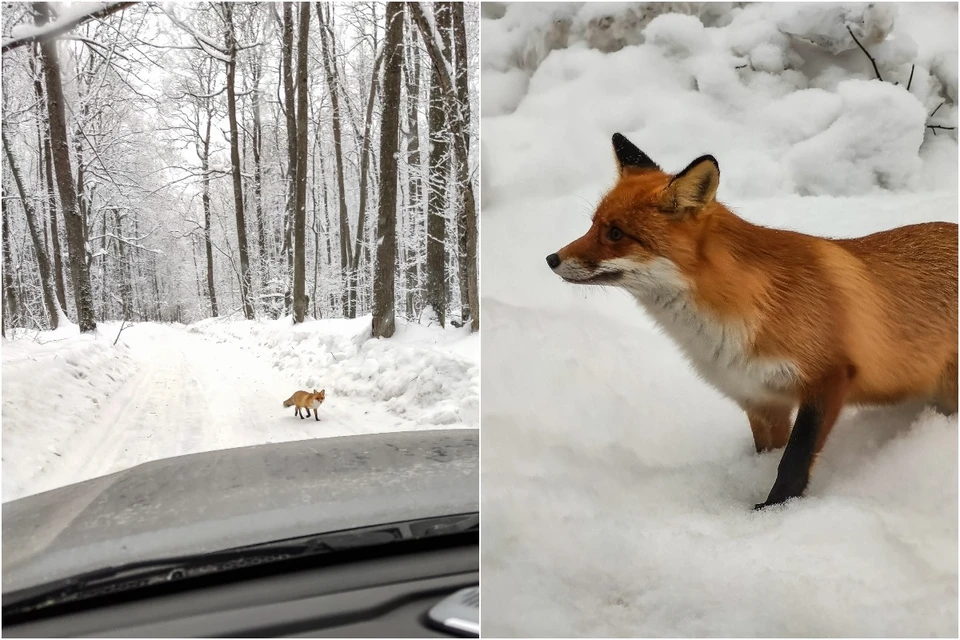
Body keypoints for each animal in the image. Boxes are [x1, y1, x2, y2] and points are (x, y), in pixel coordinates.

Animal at [548, 134, 960, 510]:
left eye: (616, 234)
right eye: (592, 225)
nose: (551, 259)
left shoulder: (828, 378)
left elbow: (792, 462)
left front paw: (773, 512)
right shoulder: (760, 399)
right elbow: (769, 454)